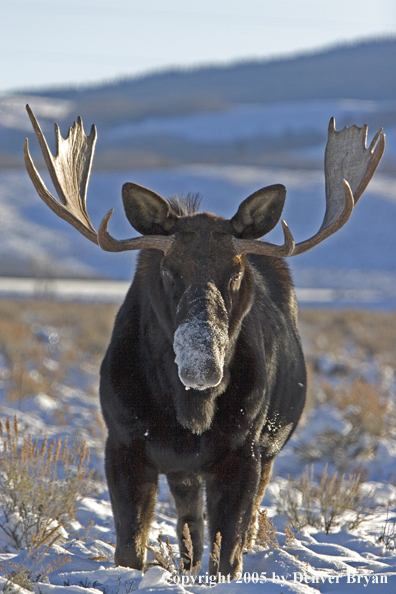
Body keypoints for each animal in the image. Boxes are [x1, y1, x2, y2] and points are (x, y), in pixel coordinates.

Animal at [24, 104, 384, 576]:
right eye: (167, 269)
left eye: (235, 271)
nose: (201, 366)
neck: (189, 412)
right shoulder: (122, 443)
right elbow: (130, 550)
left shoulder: (245, 452)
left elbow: (228, 552)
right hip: (182, 469)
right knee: (189, 520)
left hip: (265, 451)